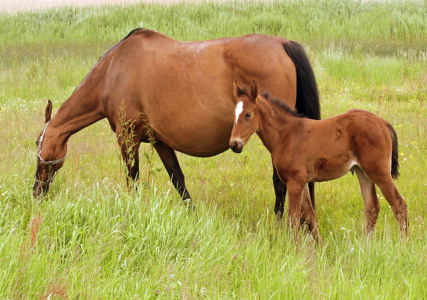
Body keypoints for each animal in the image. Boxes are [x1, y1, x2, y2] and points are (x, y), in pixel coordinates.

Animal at [34, 28, 320, 218]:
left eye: (38, 142)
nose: (36, 190)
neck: (112, 71)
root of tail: (282, 44)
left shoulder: (127, 139)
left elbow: (132, 178)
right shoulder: (160, 141)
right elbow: (178, 180)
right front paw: (193, 216)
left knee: (279, 182)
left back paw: (278, 222)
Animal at [229, 80, 410, 241]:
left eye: (248, 114)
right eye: (234, 114)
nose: (234, 144)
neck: (286, 135)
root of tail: (383, 123)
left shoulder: (295, 181)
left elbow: (293, 219)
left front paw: (295, 249)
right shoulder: (301, 182)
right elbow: (310, 216)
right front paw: (319, 248)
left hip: (378, 171)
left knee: (399, 204)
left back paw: (404, 244)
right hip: (362, 172)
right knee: (372, 207)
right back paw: (366, 245)